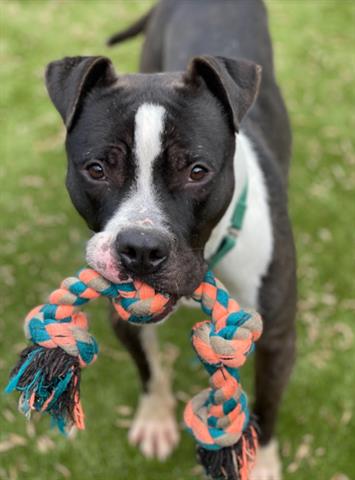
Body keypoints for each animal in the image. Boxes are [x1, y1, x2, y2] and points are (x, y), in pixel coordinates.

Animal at [45, 1, 298, 478]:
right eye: (96, 169)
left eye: (197, 171)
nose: (141, 249)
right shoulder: (123, 317)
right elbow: (148, 368)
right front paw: (154, 417)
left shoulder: (277, 337)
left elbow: (269, 407)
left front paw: (260, 462)